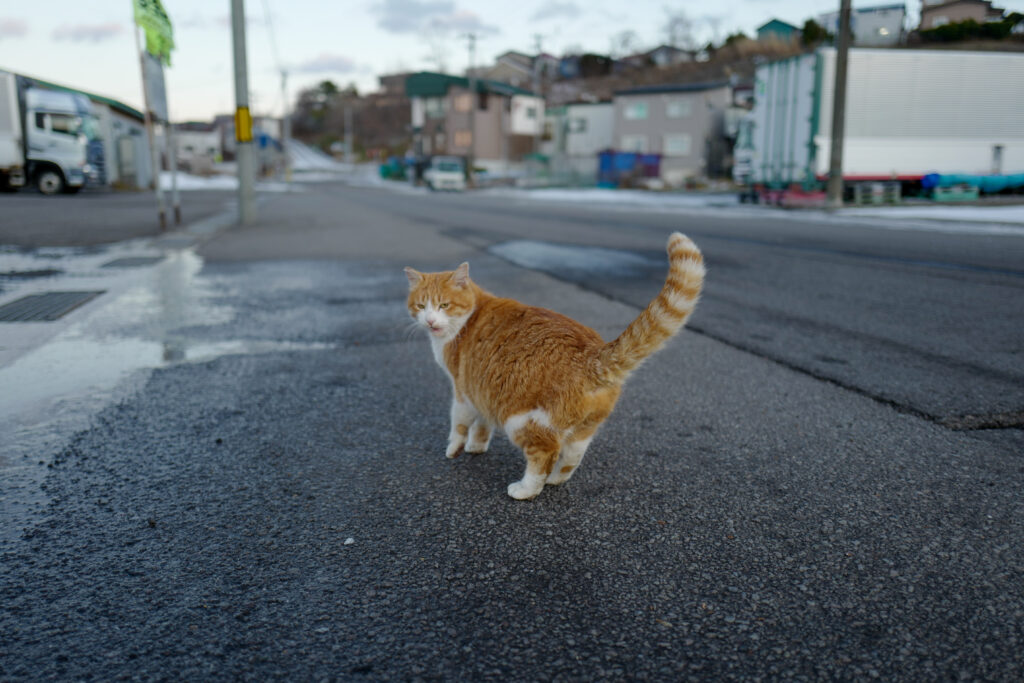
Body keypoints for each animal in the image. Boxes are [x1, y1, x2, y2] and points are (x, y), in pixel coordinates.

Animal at [405, 235, 704, 501]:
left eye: (444, 305)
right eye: (420, 305)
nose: (430, 321)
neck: (468, 317)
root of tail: (592, 356)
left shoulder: (462, 391)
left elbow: (459, 424)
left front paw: (454, 449)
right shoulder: (481, 390)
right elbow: (482, 424)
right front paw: (476, 447)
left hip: (523, 421)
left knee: (544, 454)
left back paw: (525, 490)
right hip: (585, 427)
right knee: (573, 455)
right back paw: (556, 479)